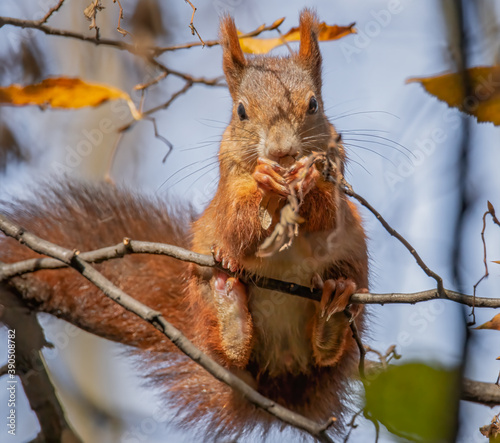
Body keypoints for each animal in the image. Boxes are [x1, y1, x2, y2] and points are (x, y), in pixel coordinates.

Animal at [0, 8, 368, 442]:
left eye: (313, 105)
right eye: (241, 111)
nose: (281, 153)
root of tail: (281, 377)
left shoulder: (340, 191)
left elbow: (328, 221)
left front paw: (307, 179)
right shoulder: (227, 191)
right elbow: (237, 224)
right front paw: (264, 180)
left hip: (356, 256)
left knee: (327, 351)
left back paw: (334, 307)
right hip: (203, 287)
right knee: (232, 349)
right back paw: (229, 306)